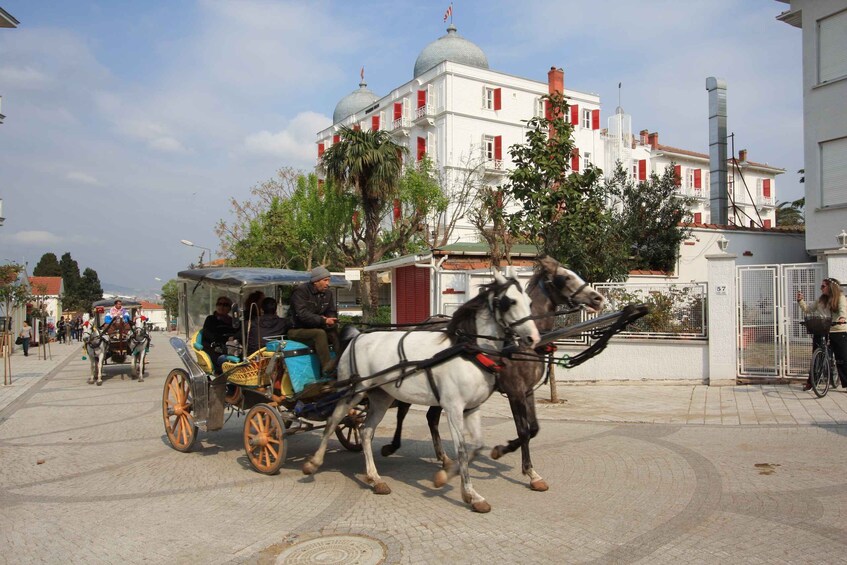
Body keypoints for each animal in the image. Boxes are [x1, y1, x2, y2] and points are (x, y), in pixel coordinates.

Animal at [304, 268, 540, 512]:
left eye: (529, 302)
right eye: (509, 302)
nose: (533, 338)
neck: (468, 351)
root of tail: (356, 337)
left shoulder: (472, 408)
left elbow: (477, 446)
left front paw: (449, 477)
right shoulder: (454, 408)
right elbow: (463, 450)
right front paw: (469, 493)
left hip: (380, 397)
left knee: (365, 431)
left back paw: (375, 478)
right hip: (353, 391)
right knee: (333, 421)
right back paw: (314, 463)